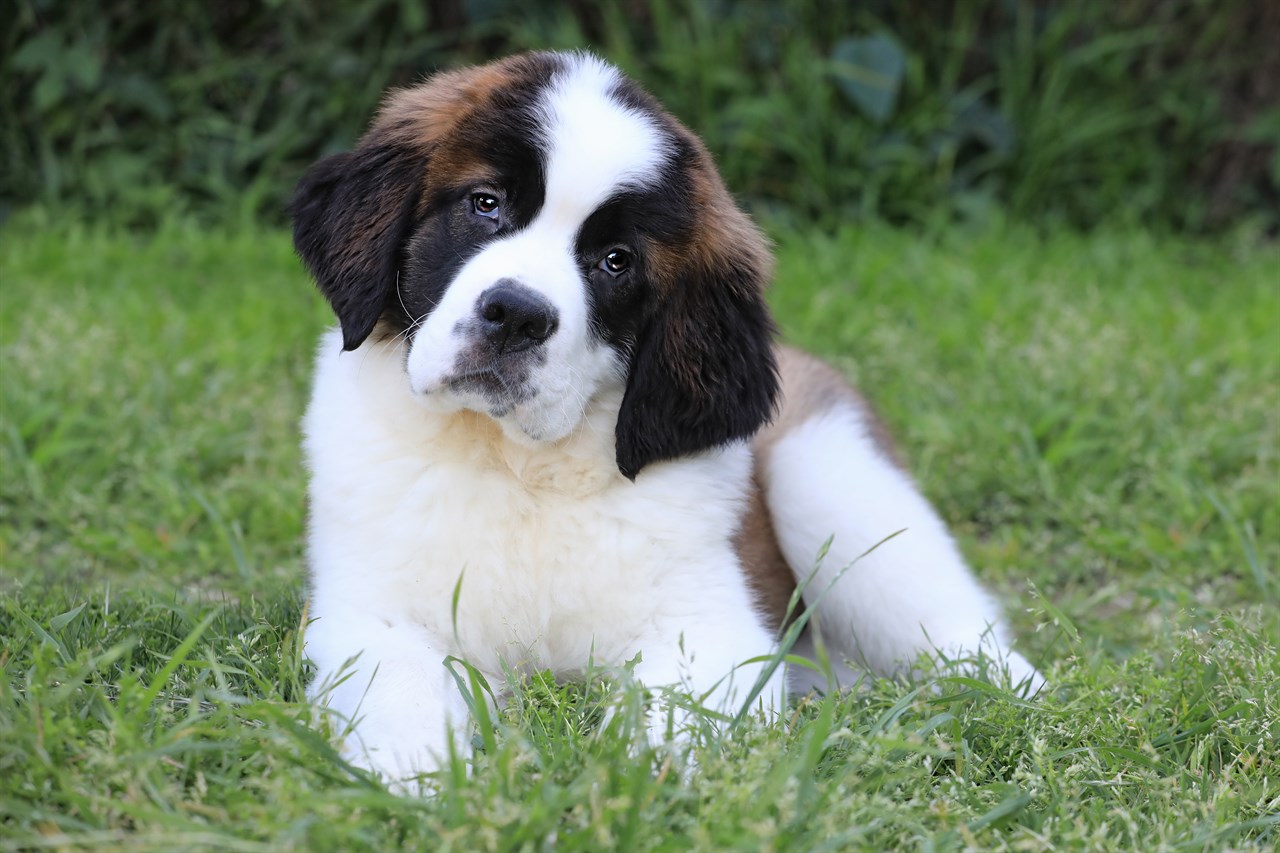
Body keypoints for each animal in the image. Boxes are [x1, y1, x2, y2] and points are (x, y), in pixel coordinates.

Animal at [288, 51, 1039, 783]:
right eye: (485, 204)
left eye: (615, 262)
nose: (518, 316)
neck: (519, 463)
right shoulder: (366, 612)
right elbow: (397, 682)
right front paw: (416, 778)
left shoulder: (712, 628)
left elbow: (678, 719)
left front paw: (641, 783)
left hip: (831, 482)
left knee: (972, 646)